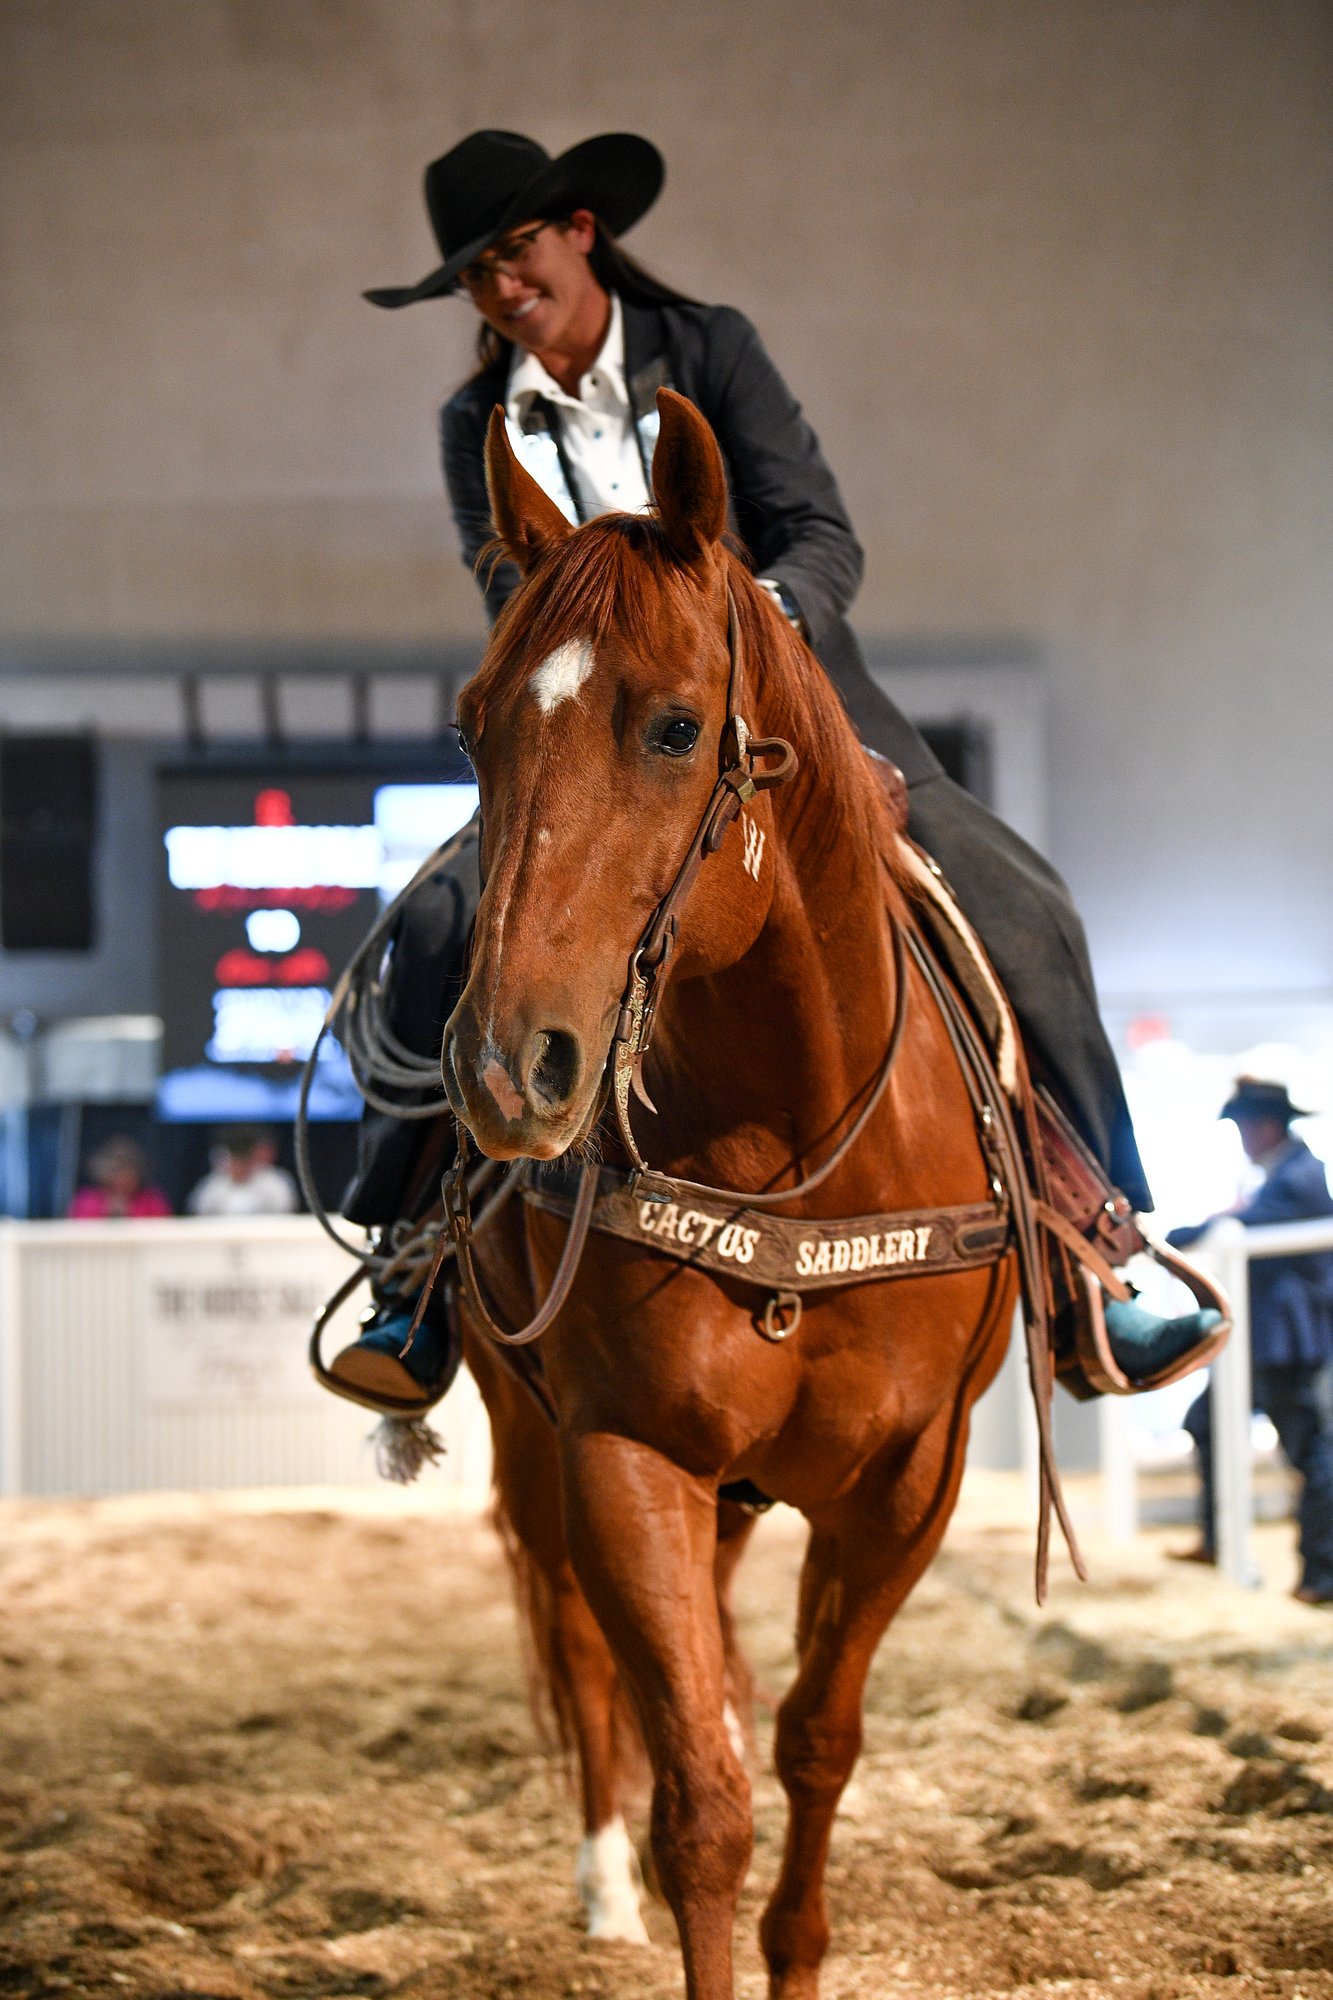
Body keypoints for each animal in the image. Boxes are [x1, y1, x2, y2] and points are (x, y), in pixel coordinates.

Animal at [442, 387, 1020, 2000]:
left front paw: (802, 1949)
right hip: (532, 1438)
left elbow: (816, 1740)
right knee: (584, 1652)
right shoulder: (622, 1457)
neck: (794, 1149)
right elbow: (700, 1797)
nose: (509, 1065)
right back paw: (600, 1887)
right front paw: (657, 1871)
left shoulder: (910, 1483)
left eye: (676, 726)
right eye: (473, 728)